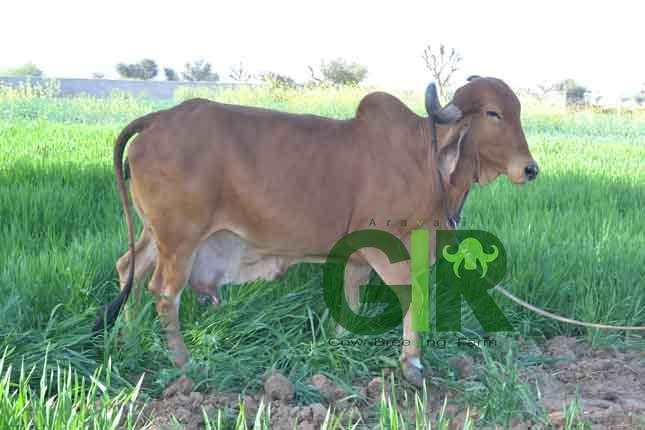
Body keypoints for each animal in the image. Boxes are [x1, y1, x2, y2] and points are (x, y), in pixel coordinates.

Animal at [94, 76, 539, 387]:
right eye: (493, 114)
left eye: (516, 111)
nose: (530, 169)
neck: (425, 159)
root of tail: (157, 119)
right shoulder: (390, 247)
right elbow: (411, 296)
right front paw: (411, 364)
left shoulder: (358, 255)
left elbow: (350, 297)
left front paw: (339, 343)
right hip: (181, 238)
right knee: (164, 291)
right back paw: (184, 361)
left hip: (157, 234)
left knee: (129, 269)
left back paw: (128, 339)